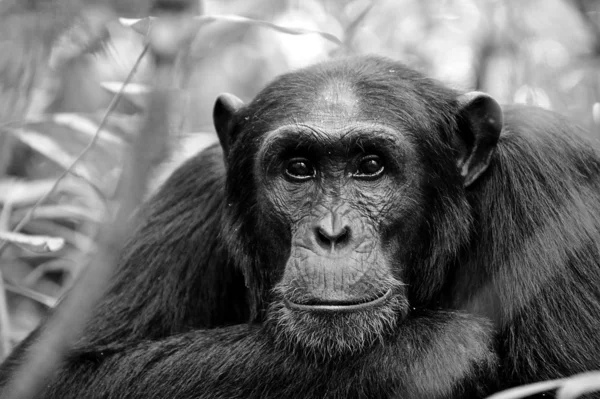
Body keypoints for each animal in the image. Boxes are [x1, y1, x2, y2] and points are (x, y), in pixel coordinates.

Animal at [1, 54, 600, 398]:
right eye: (298, 168)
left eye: (370, 166)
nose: (331, 233)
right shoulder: (191, 192)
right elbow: (59, 372)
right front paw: (435, 352)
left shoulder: (553, 181)